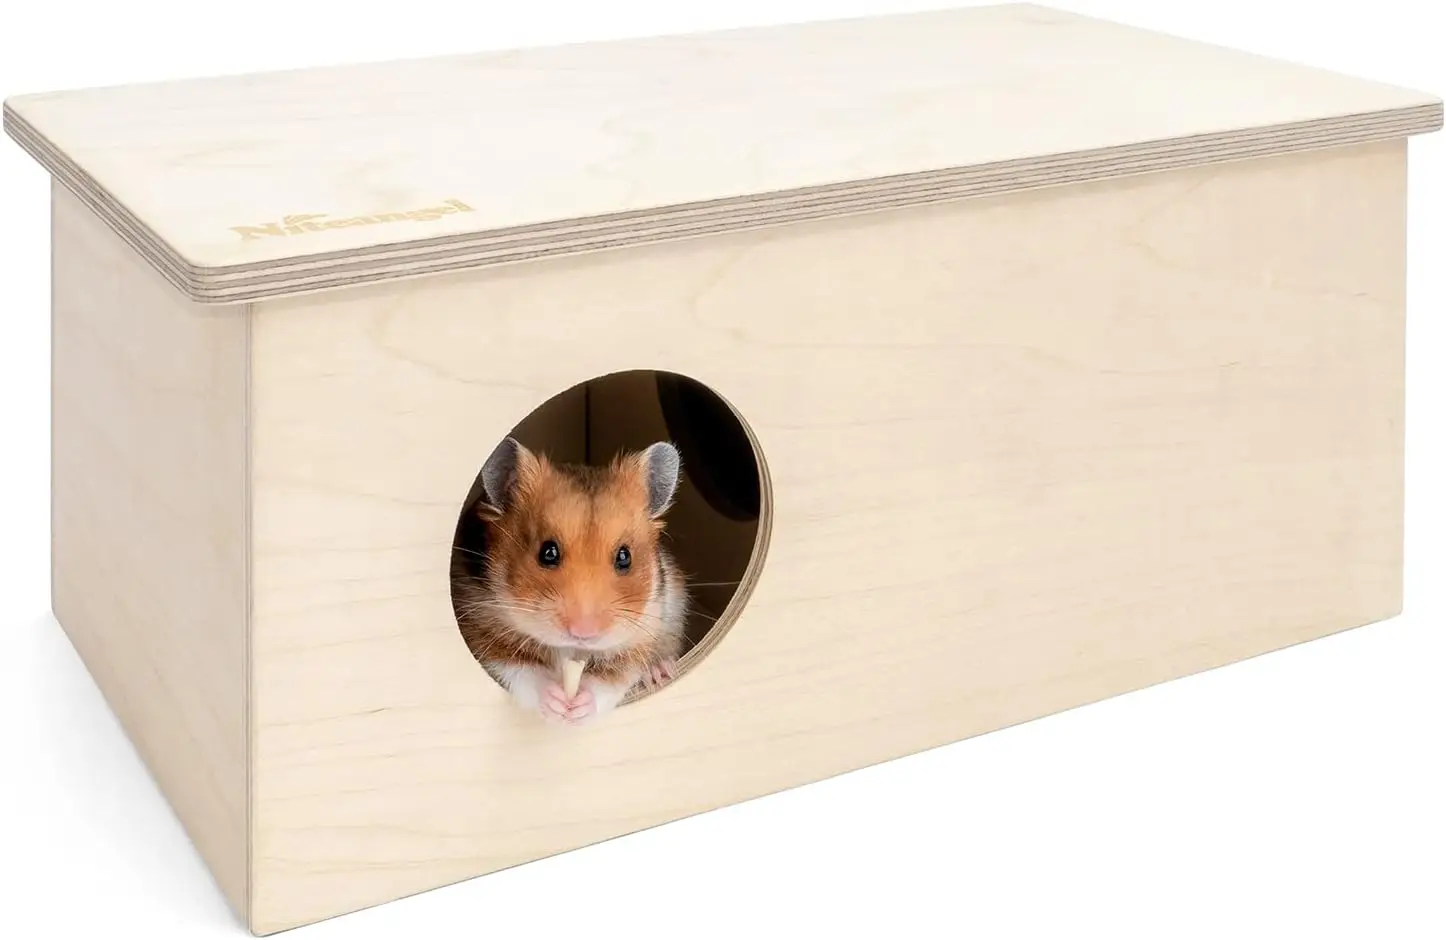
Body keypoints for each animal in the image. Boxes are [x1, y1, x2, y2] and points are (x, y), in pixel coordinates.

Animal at [453, 436, 689, 725]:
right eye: (548, 552)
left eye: (625, 557)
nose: (583, 633)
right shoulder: (478, 626)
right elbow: (521, 670)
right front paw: (556, 703)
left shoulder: (642, 635)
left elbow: (611, 681)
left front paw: (578, 709)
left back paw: (659, 671)